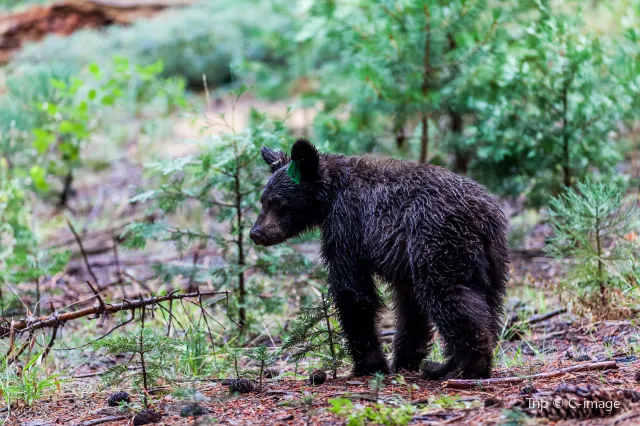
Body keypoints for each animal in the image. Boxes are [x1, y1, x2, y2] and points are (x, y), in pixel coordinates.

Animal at [250, 139, 510, 380]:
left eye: (277, 202)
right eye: (263, 200)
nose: (256, 233)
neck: (331, 195)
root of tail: (483, 218)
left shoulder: (348, 227)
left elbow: (352, 292)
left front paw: (370, 364)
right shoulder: (404, 260)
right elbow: (410, 307)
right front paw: (404, 360)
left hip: (439, 246)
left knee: (450, 297)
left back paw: (466, 368)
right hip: (492, 261)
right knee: (489, 304)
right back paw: (449, 365)